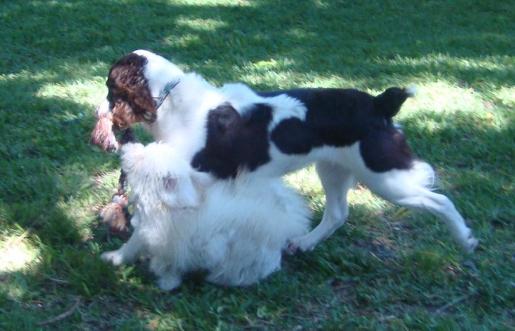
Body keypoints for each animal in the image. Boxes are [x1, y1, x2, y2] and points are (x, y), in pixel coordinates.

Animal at [89, 50, 480, 254]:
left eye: (109, 86)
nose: (97, 111)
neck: (172, 101)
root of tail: (379, 103)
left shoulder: (191, 183)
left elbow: (149, 226)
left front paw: (121, 256)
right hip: (333, 168)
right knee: (337, 213)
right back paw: (304, 244)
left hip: (385, 177)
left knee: (441, 200)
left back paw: (465, 239)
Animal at [101, 143, 310, 290]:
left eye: (143, 159)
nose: (129, 146)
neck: (168, 207)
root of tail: (282, 224)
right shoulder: (145, 232)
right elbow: (129, 247)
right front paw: (113, 257)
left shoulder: (169, 245)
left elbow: (165, 264)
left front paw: (166, 282)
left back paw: (220, 279)